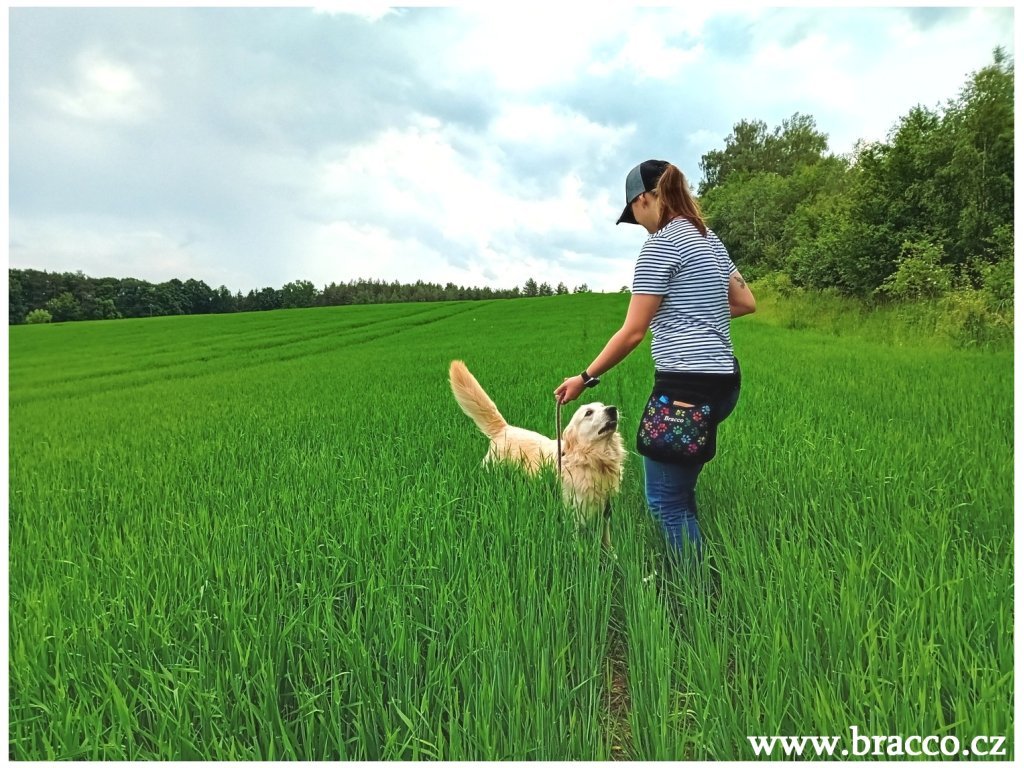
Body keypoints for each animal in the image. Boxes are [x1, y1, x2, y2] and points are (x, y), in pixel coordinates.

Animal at [446, 360, 622, 548]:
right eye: (588, 413)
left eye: (602, 406)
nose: (612, 409)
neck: (593, 460)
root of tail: (505, 428)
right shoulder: (574, 512)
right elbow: (576, 541)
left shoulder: (605, 510)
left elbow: (606, 538)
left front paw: (612, 554)